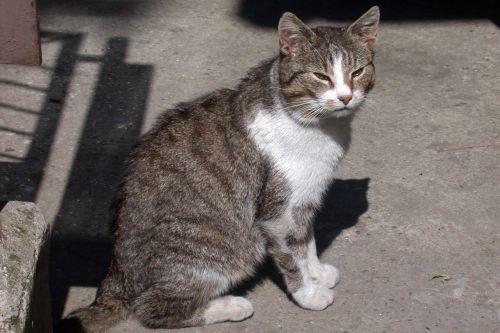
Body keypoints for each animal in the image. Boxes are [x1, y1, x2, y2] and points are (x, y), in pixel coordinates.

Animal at [62, 6, 380, 330]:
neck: (317, 125)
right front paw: (308, 293)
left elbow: (307, 242)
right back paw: (230, 305)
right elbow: (293, 255)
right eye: (320, 76)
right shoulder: (279, 214)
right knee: (152, 310)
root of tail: (116, 276)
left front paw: (317, 273)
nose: (345, 97)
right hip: (220, 251)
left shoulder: (304, 201)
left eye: (357, 72)